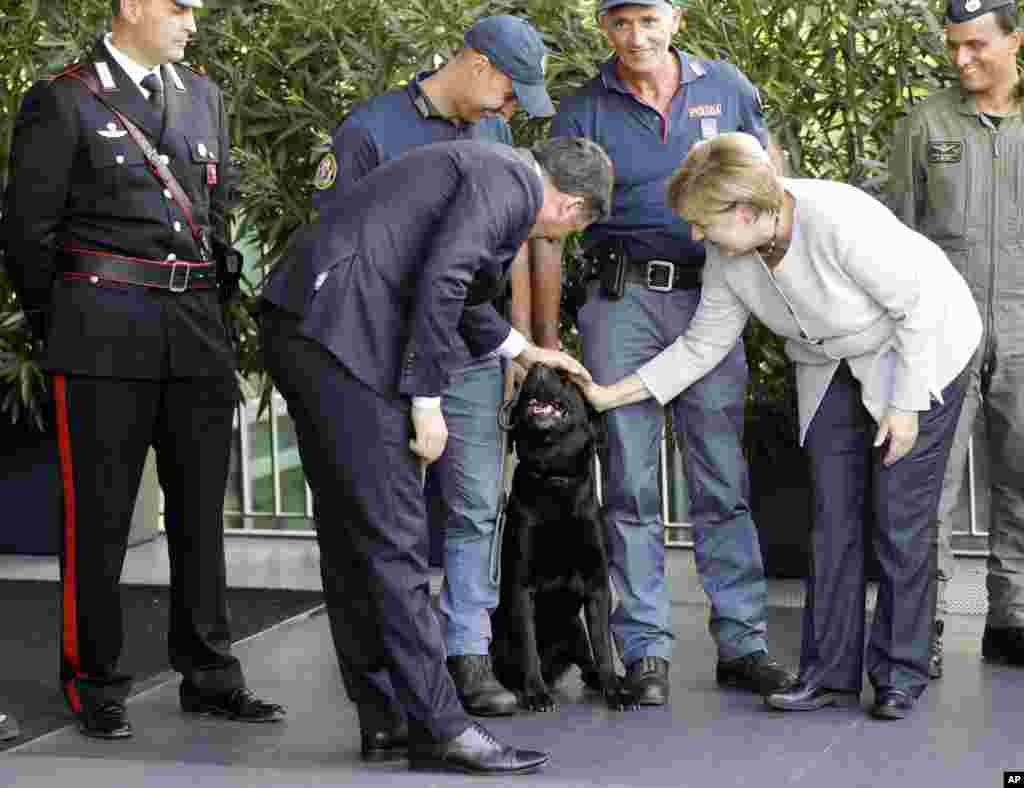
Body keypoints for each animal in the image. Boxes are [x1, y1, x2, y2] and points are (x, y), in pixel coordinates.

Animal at [487, 362, 630, 712]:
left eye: (565, 378)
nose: (537, 366)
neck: (554, 478)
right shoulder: (521, 586)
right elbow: (528, 647)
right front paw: (536, 694)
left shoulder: (597, 585)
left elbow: (603, 647)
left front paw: (614, 691)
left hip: (574, 630)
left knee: (589, 662)